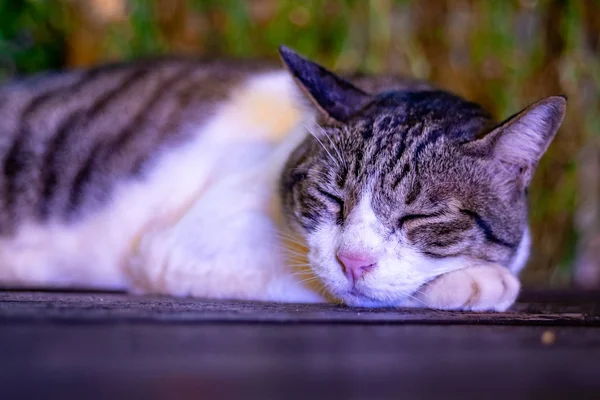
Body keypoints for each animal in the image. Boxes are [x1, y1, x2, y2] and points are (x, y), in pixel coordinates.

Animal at [0, 46, 568, 310]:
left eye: (419, 216)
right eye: (332, 197)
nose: (353, 261)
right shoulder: (185, 244)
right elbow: (319, 277)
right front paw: (475, 280)